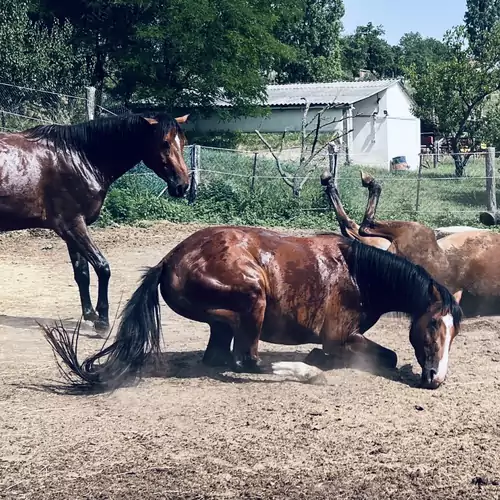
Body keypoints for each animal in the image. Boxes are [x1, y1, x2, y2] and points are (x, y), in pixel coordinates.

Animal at [0, 111, 190, 334]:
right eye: (165, 143)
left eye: (183, 142)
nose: (182, 186)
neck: (78, 158)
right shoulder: (72, 225)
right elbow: (102, 267)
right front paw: (103, 321)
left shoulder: (72, 228)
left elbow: (82, 273)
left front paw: (90, 314)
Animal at [44, 226, 464, 390]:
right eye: (432, 326)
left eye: (454, 333)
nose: (435, 377)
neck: (359, 273)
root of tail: (170, 259)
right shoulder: (339, 337)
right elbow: (386, 356)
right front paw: (317, 359)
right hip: (253, 300)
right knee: (246, 359)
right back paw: (307, 372)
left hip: (225, 320)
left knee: (218, 357)